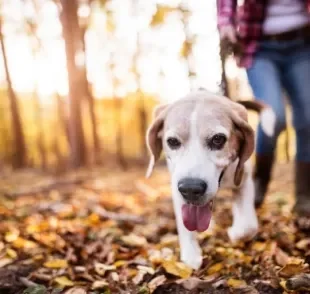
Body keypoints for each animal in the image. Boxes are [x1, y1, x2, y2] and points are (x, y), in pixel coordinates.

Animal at [147, 89, 274, 268]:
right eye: (172, 141)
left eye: (218, 139)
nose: (190, 188)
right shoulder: (176, 189)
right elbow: (185, 225)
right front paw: (191, 254)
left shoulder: (243, 180)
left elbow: (248, 226)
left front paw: (235, 232)